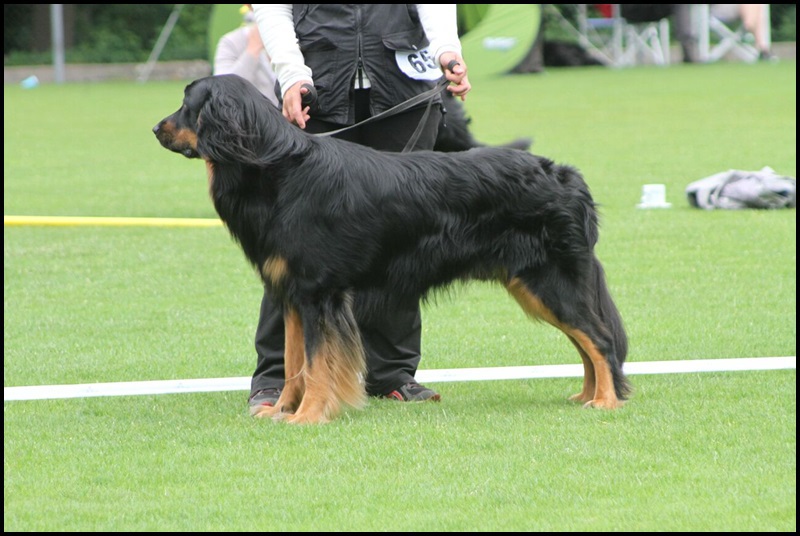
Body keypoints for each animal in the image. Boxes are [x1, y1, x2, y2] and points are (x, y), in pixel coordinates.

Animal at [153, 74, 630, 424]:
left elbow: (317, 364)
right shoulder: (291, 295)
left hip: (550, 279)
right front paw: (281, 409)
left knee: (599, 337)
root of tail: (567, 176)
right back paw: (588, 394)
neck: (277, 166)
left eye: (187, 103)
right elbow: (294, 364)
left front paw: (308, 416)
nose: (156, 128)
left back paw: (606, 401)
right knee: (586, 340)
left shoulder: (318, 294)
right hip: (536, 284)